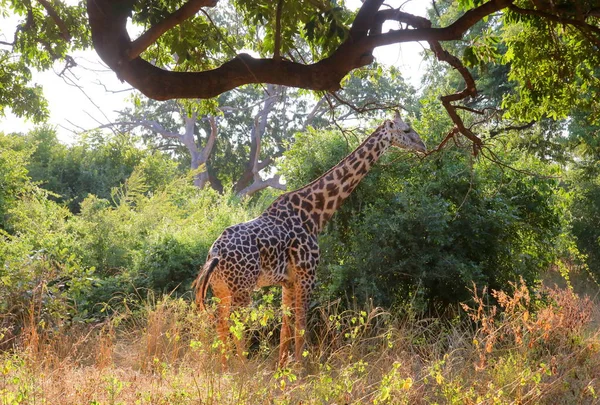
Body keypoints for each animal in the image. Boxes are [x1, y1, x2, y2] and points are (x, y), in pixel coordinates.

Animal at [193, 112, 426, 364]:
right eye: (406, 130)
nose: (423, 145)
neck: (315, 214)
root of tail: (215, 253)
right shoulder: (307, 275)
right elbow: (301, 327)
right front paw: (300, 368)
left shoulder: (288, 281)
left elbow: (285, 328)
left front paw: (282, 367)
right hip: (242, 289)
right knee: (236, 328)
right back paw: (241, 368)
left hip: (221, 289)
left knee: (221, 326)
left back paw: (225, 368)